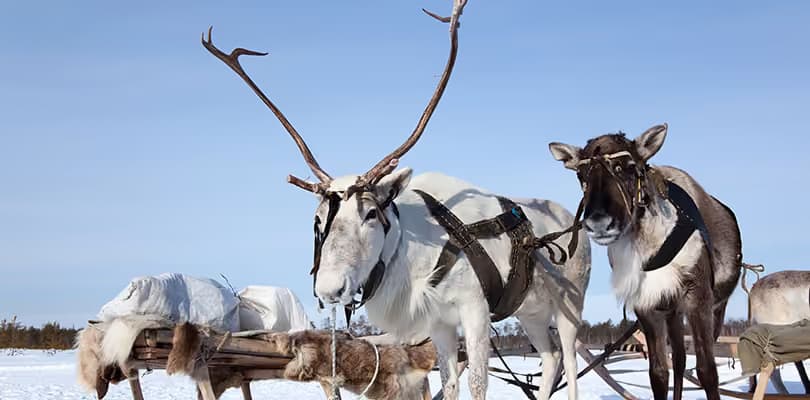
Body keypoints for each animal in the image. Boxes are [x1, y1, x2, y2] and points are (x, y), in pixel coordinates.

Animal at [202, 1, 591, 399]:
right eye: (318, 219)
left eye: (371, 213)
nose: (330, 289)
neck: (414, 260)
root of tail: (572, 219)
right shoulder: (439, 322)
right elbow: (449, 383)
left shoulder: (475, 310)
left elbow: (478, 385)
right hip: (531, 312)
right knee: (550, 358)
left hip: (570, 302)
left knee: (570, 358)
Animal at [548, 125, 743, 400]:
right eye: (581, 174)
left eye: (630, 166)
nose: (599, 223)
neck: (648, 245)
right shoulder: (647, 306)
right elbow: (658, 373)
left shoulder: (699, 299)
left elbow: (707, 371)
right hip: (672, 311)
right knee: (679, 359)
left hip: (716, 307)